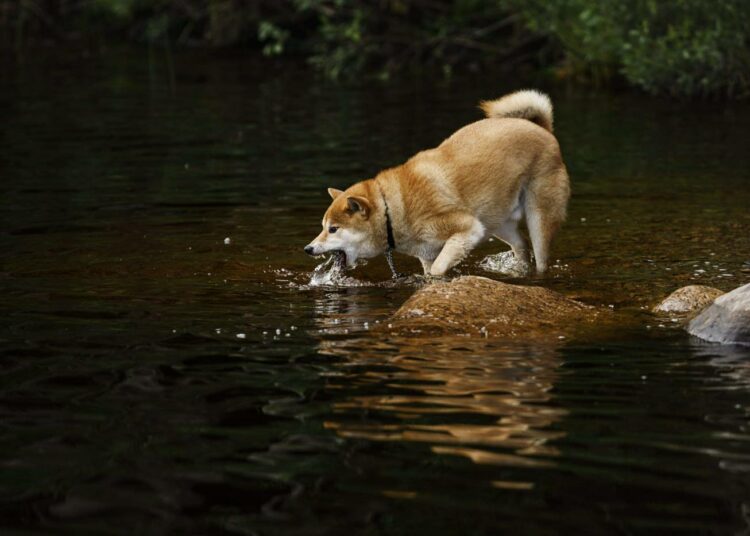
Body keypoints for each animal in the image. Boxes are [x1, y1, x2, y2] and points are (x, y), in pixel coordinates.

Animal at [304, 88, 568, 278]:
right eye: (323, 227)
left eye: (333, 229)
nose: (308, 249)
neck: (393, 209)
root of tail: (541, 128)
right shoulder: (427, 252)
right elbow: (430, 272)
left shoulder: (468, 229)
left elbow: (439, 270)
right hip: (498, 223)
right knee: (522, 246)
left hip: (537, 217)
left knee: (540, 257)